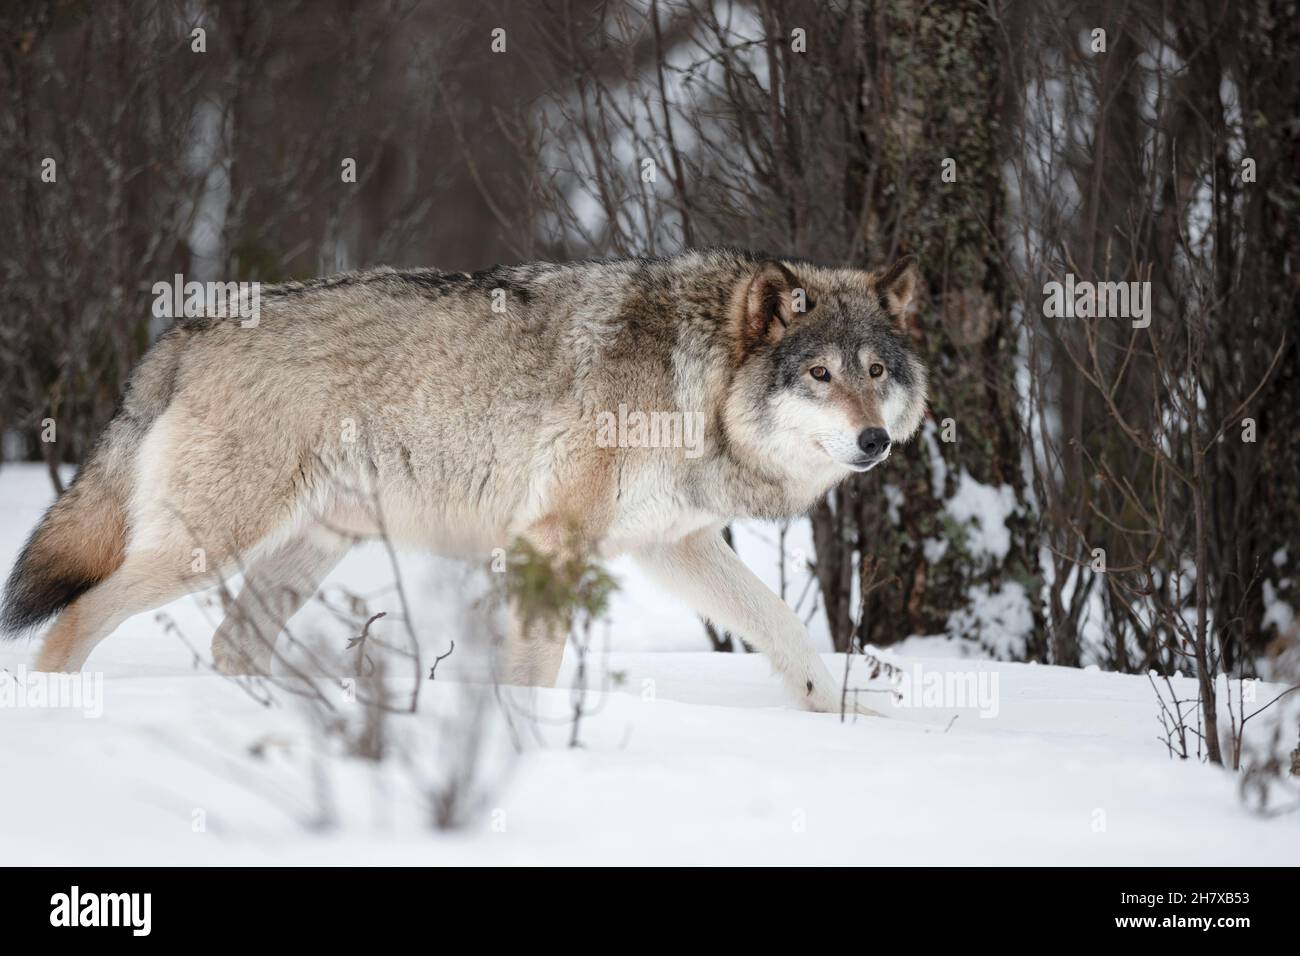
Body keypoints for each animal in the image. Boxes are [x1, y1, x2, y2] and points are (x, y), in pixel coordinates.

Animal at [0, 251, 925, 712]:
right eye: (820, 375)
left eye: (876, 372)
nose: (875, 440)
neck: (691, 381)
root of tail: (184, 333)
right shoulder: (554, 540)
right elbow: (537, 667)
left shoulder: (677, 545)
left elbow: (781, 628)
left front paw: (844, 713)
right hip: (205, 548)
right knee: (79, 616)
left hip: (307, 550)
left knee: (235, 644)